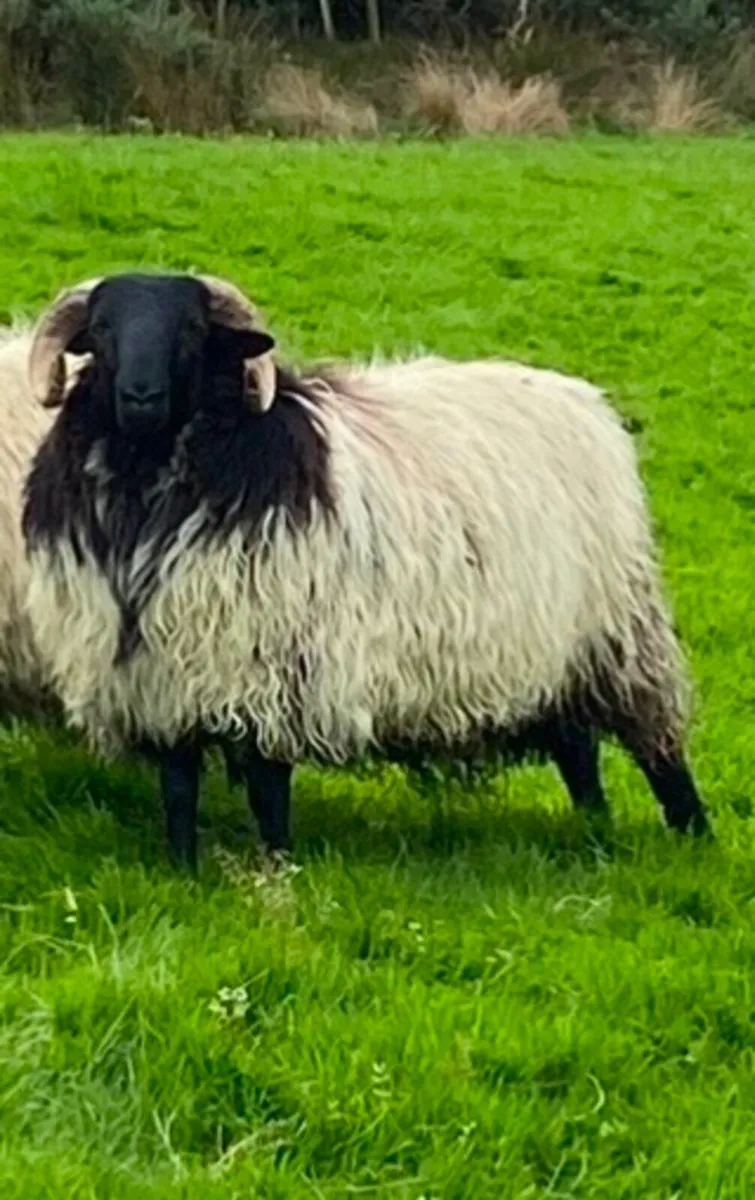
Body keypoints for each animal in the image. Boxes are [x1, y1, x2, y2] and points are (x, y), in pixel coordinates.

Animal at [21, 271, 709, 869]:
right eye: (101, 329)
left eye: (191, 329)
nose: (141, 397)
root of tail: (585, 400)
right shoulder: (161, 679)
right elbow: (178, 788)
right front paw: (184, 869)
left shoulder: (269, 668)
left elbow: (267, 787)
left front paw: (278, 867)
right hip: (549, 650)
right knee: (578, 748)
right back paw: (594, 828)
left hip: (618, 631)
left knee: (660, 750)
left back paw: (695, 841)